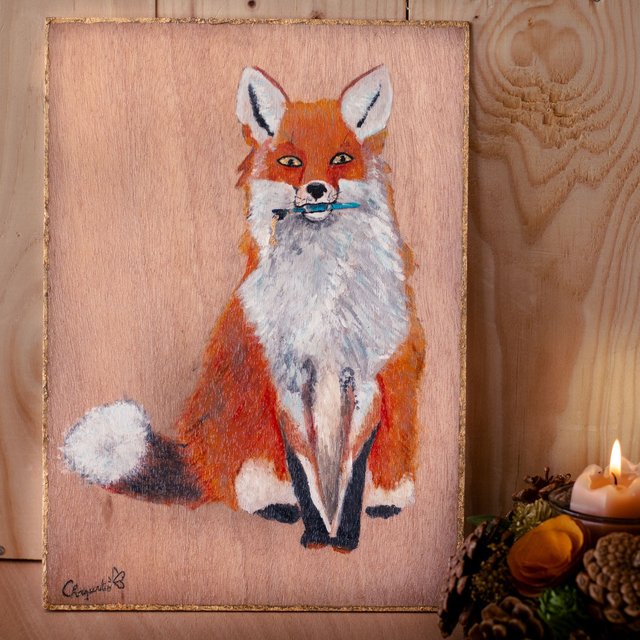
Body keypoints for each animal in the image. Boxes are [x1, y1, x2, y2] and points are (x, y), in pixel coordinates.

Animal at [62, 64, 426, 553]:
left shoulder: (367, 380)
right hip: (248, 441)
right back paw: (278, 508)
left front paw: (345, 536)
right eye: (290, 163)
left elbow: (350, 479)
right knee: (248, 491)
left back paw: (383, 503)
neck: (323, 298)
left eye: (340, 158)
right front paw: (317, 534)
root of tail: (199, 457)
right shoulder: (287, 381)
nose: (316, 189)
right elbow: (305, 475)